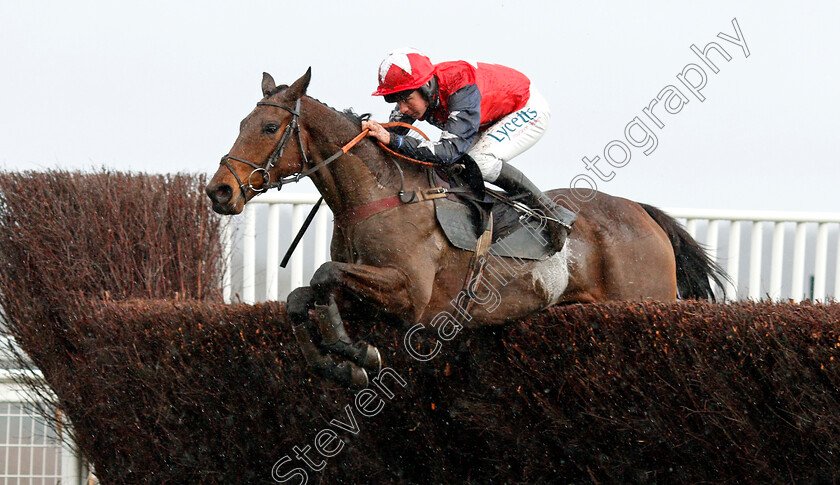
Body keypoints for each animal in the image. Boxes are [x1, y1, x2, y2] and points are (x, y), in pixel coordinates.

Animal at [205, 69, 728, 386]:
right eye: (241, 122)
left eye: (269, 128)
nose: (219, 191)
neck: (380, 194)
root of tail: (642, 212)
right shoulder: (368, 290)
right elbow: (302, 295)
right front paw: (336, 363)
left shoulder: (410, 295)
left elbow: (323, 276)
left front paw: (353, 352)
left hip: (648, 300)